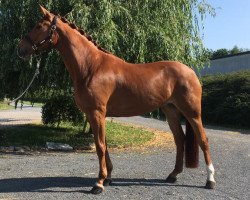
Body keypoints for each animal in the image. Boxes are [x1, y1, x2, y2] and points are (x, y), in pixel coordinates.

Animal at [18, 5, 217, 195]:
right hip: (171, 111)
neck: (91, 66)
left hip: (192, 112)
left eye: (38, 26)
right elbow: (104, 145)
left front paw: (98, 184)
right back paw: (173, 175)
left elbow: (99, 146)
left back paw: (210, 180)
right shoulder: (94, 115)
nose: (21, 49)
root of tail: (190, 71)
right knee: (179, 140)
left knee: (203, 140)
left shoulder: (97, 113)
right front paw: (107, 178)